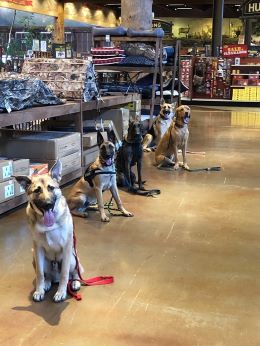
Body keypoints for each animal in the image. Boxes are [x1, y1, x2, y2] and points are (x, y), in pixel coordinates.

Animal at [14, 160, 83, 302]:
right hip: (34, 256)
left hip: (73, 258)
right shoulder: (38, 249)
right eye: (37, 190)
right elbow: (40, 274)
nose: (47, 204)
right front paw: (39, 290)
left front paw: (61, 292)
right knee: (47, 275)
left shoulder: (67, 248)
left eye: (51, 188)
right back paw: (47, 283)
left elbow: (64, 274)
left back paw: (75, 282)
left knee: (73, 272)